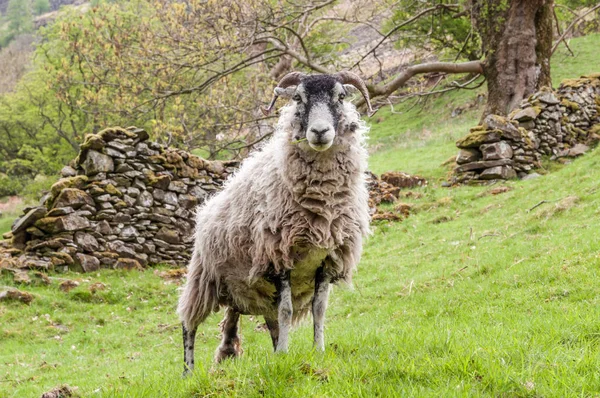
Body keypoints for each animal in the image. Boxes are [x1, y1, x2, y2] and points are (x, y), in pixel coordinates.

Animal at [177, 70, 376, 374]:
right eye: (298, 98)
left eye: (341, 96)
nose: (320, 132)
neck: (321, 203)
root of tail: (207, 207)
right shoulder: (278, 257)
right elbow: (286, 310)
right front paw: (285, 353)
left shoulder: (325, 261)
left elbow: (318, 310)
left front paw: (316, 350)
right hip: (203, 277)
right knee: (189, 323)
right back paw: (189, 372)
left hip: (250, 290)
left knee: (259, 320)